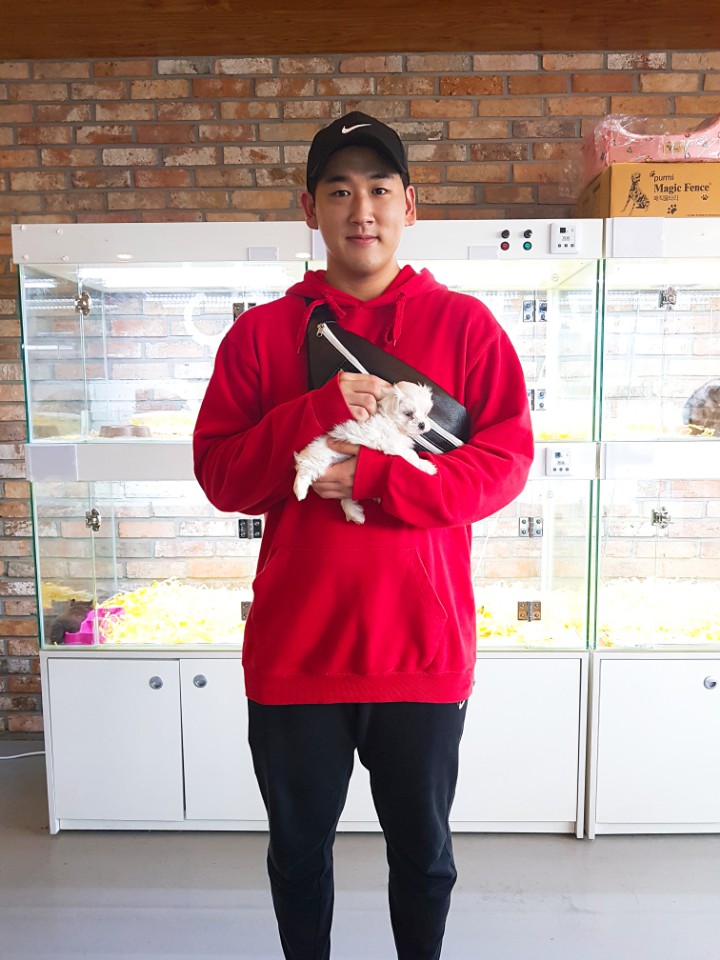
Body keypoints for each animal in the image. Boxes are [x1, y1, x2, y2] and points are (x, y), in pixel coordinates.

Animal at [293, 381, 438, 523]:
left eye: (425, 413)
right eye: (408, 414)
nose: (422, 425)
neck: (393, 424)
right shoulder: (391, 444)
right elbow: (411, 455)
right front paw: (427, 466)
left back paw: (355, 514)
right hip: (319, 457)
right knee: (306, 467)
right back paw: (300, 490)